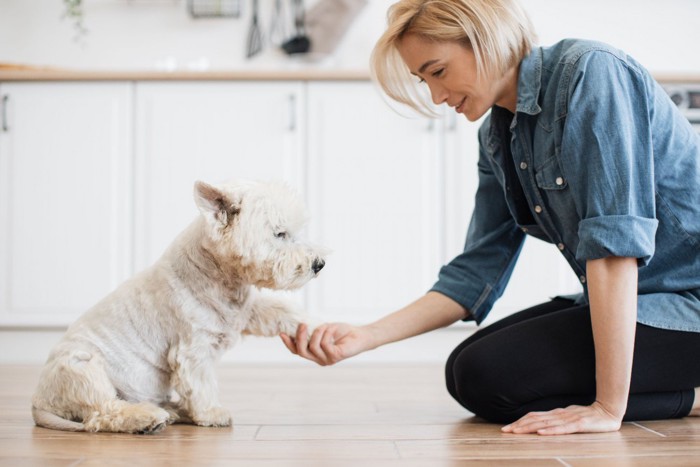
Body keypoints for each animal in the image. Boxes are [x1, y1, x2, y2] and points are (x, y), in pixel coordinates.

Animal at [31, 179, 326, 436]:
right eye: (280, 233)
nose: (319, 264)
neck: (217, 273)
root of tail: (39, 403)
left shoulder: (245, 311)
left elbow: (278, 310)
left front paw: (316, 328)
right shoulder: (193, 348)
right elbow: (200, 383)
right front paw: (212, 413)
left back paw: (171, 411)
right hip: (82, 368)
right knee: (102, 413)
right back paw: (148, 418)